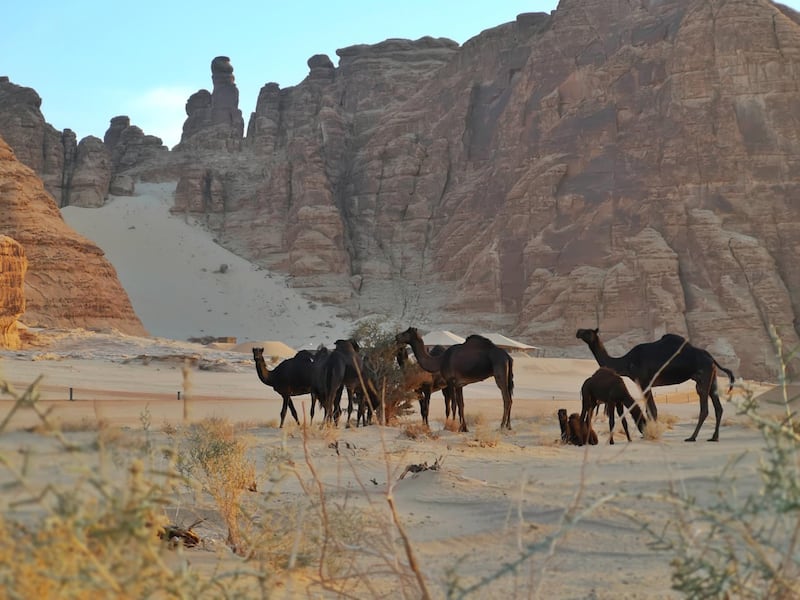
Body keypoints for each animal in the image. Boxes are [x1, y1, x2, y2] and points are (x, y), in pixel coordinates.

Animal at [576, 328, 736, 440]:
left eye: (588, 331)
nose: (578, 332)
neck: (627, 362)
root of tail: (712, 359)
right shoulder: (645, 384)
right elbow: (649, 409)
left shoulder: (644, 382)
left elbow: (652, 410)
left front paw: (652, 433)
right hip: (711, 378)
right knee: (718, 407)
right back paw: (714, 437)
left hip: (703, 377)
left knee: (704, 408)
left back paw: (692, 437)